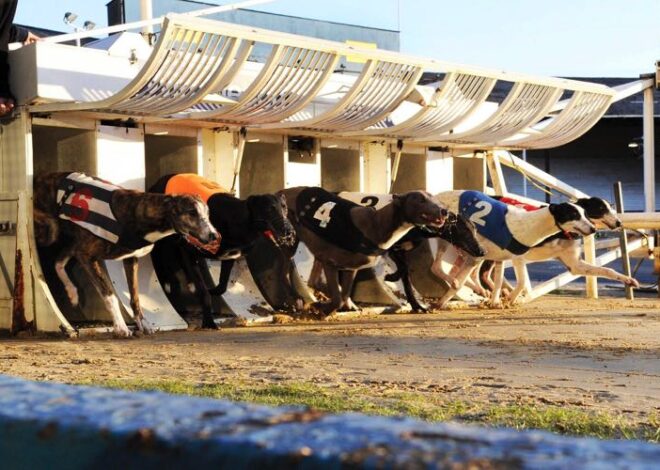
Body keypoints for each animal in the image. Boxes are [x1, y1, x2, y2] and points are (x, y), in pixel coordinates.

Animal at [35, 173, 219, 338]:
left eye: (208, 214)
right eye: (192, 213)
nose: (214, 236)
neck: (138, 212)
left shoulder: (131, 259)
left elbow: (135, 297)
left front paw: (143, 323)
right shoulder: (87, 256)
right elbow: (109, 295)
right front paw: (120, 327)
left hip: (72, 240)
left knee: (58, 261)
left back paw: (72, 292)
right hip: (52, 231)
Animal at [282, 185, 446, 314]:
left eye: (433, 197)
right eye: (421, 200)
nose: (444, 211)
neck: (377, 223)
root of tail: (282, 191)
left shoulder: (350, 269)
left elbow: (344, 293)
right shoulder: (330, 263)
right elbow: (338, 298)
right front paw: (324, 308)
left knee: (314, 281)